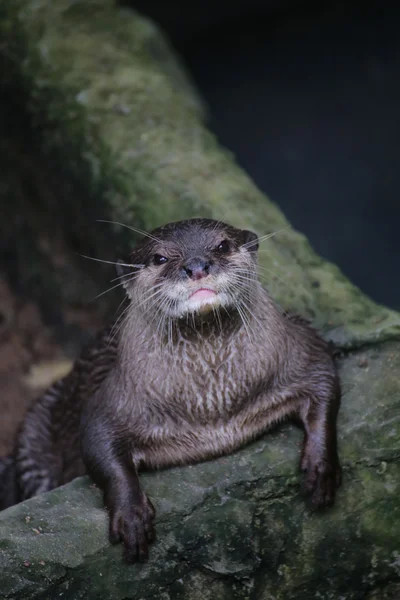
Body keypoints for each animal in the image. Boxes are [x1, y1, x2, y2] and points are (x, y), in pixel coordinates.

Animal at [0, 219, 340, 564]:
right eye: (160, 258)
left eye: (223, 245)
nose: (197, 266)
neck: (213, 405)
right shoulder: (110, 400)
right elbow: (99, 446)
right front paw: (132, 515)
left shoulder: (300, 347)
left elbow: (325, 383)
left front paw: (321, 468)